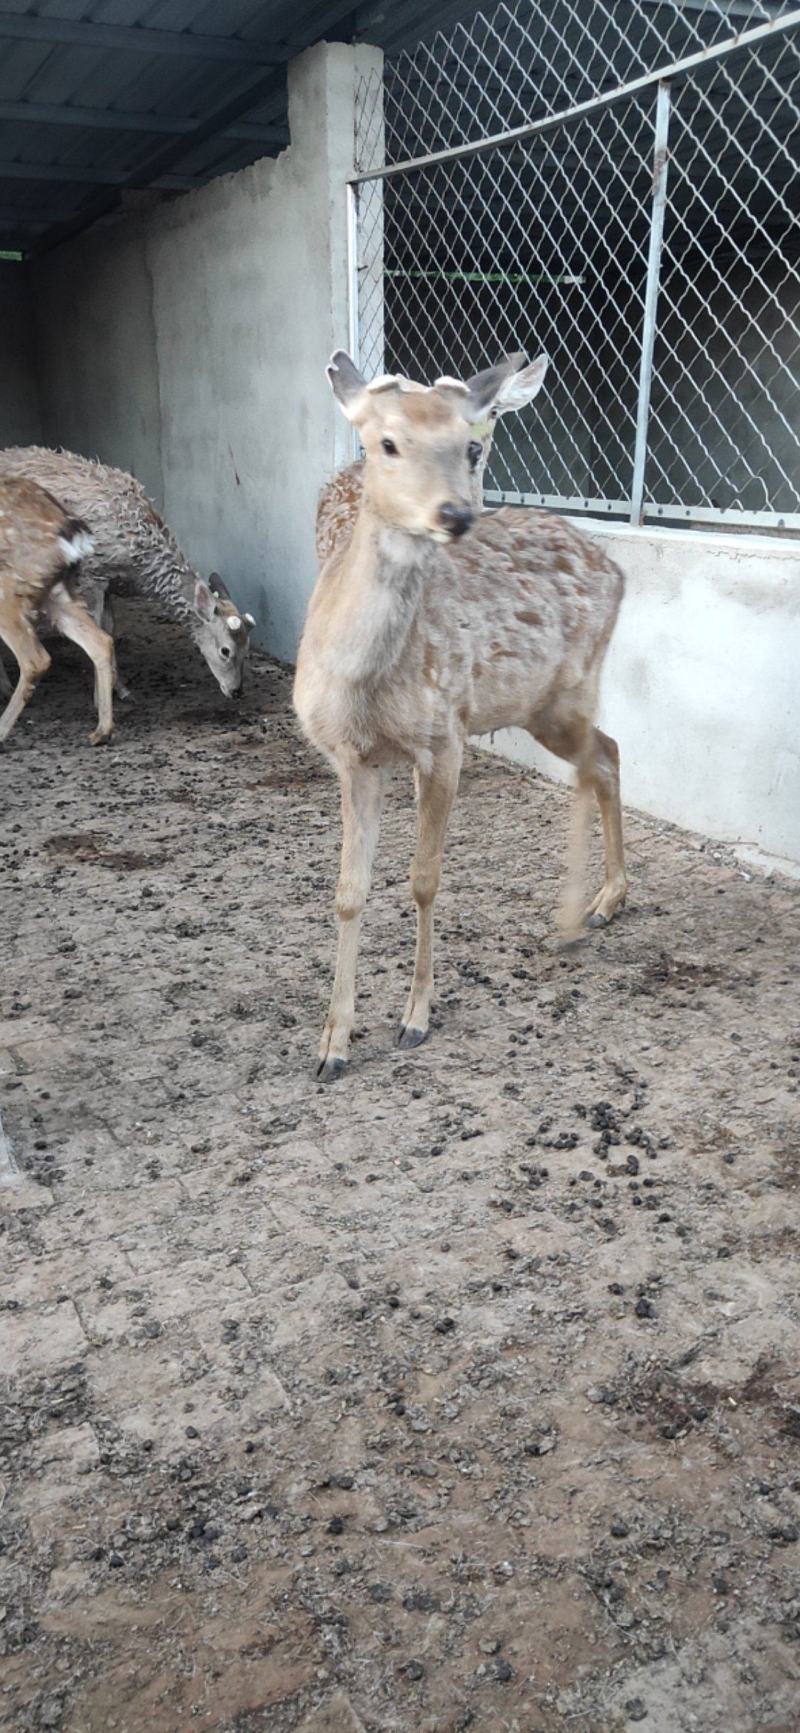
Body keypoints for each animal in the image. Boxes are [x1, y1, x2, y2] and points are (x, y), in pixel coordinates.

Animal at [0, 448, 255, 704]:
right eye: (225, 651)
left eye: (247, 649)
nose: (237, 691)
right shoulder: (91, 574)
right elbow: (100, 629)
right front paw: (102, 696)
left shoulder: (109, 581)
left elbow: (110, 628)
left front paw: (121, 689)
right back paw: (7, 687)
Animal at [293, 352, 627, 1081]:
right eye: (388, 442)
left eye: (470, 445)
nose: (456, 513)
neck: (361, 682)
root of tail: (619, 569)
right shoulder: (351, 758)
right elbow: (348, 890)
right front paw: (332, 1044)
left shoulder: (443, 736)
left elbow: (424, 880)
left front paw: (415, 1017)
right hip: (543, 703)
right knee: (609, 752)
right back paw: (601, 902)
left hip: (564, 690)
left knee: (601, 758)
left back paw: (581, 911)